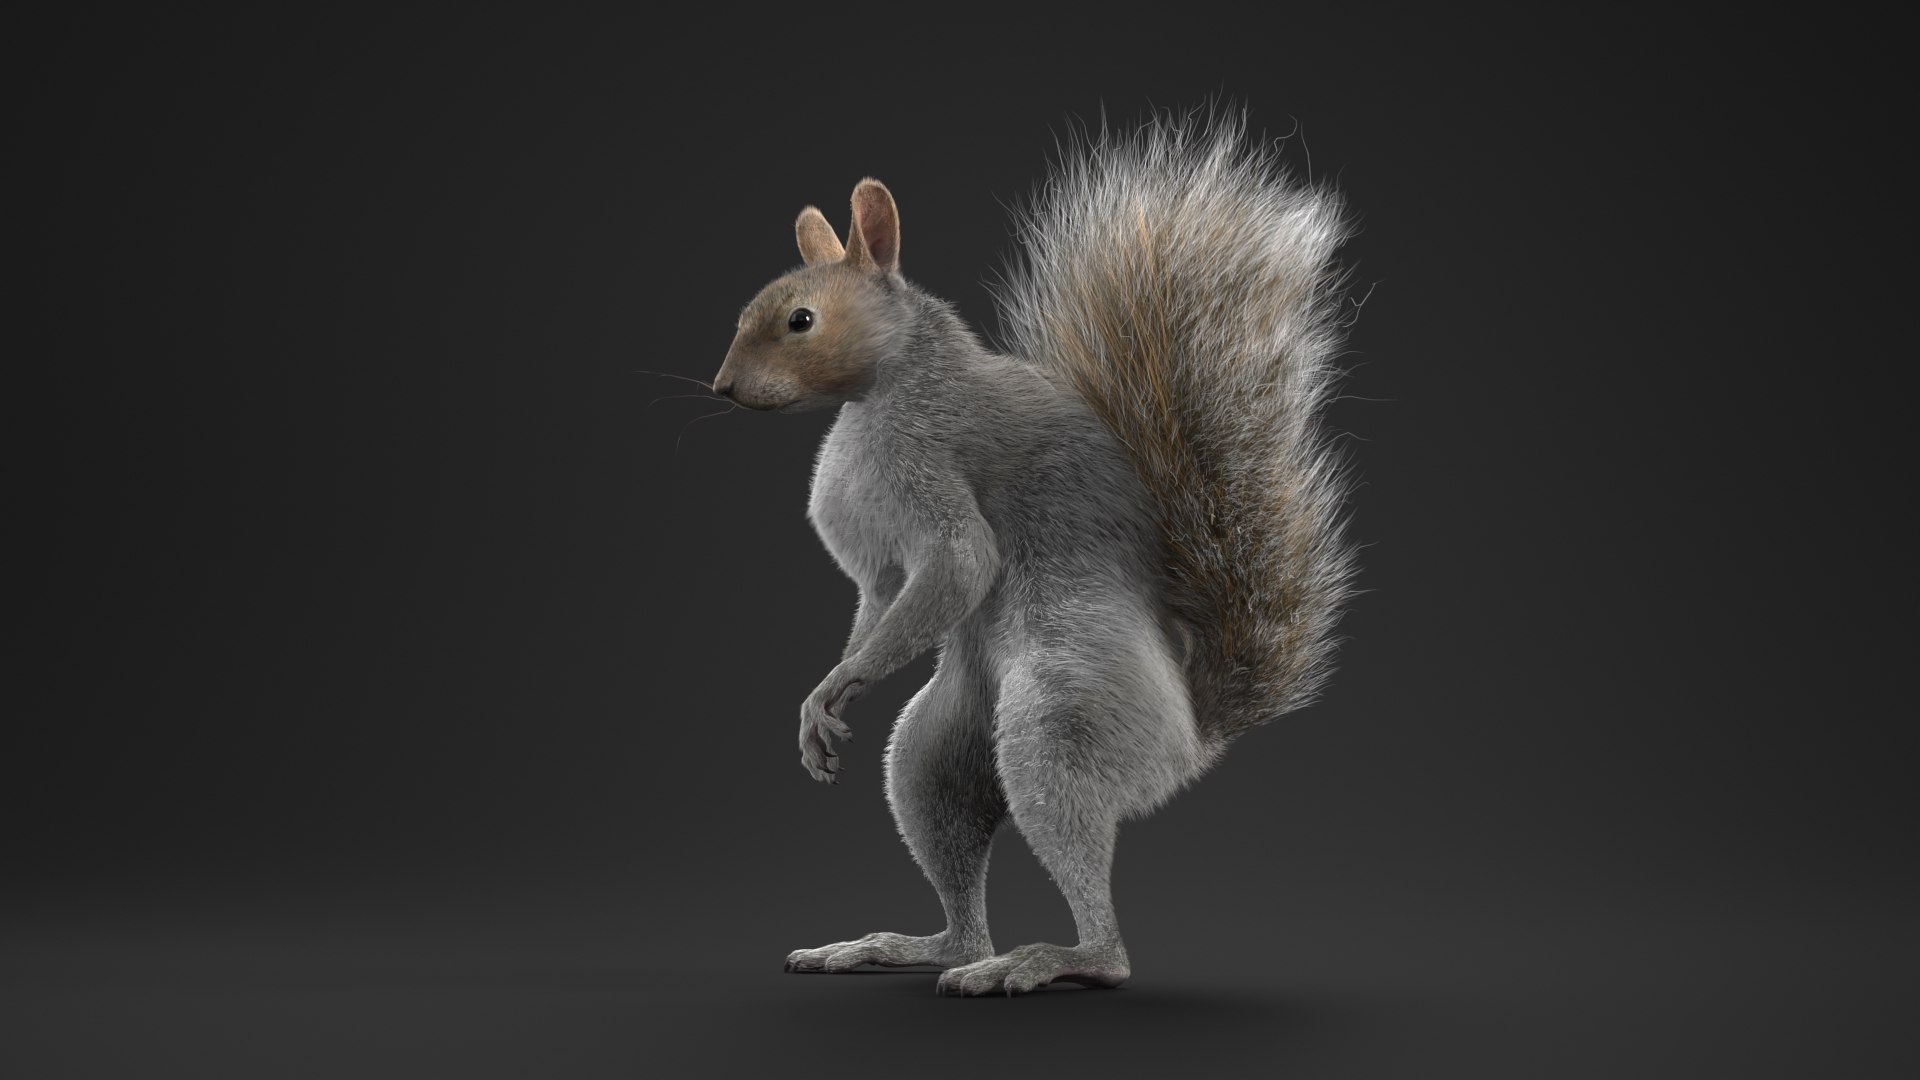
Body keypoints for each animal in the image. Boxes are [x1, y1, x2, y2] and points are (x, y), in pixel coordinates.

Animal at [710, 110, 1358, 995]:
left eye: (801, 319)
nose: (721, 387)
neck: (884, 390)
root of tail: (1190, 743)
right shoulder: (878, 566)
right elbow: (880, 602)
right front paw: (823, 704)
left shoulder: (932, 469)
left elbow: (962, 566)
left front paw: (839, 683)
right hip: (933, 756)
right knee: (960, 914)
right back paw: (896, 948)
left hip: (1058, 729)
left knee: (1106, 948)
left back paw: (1043, 962)